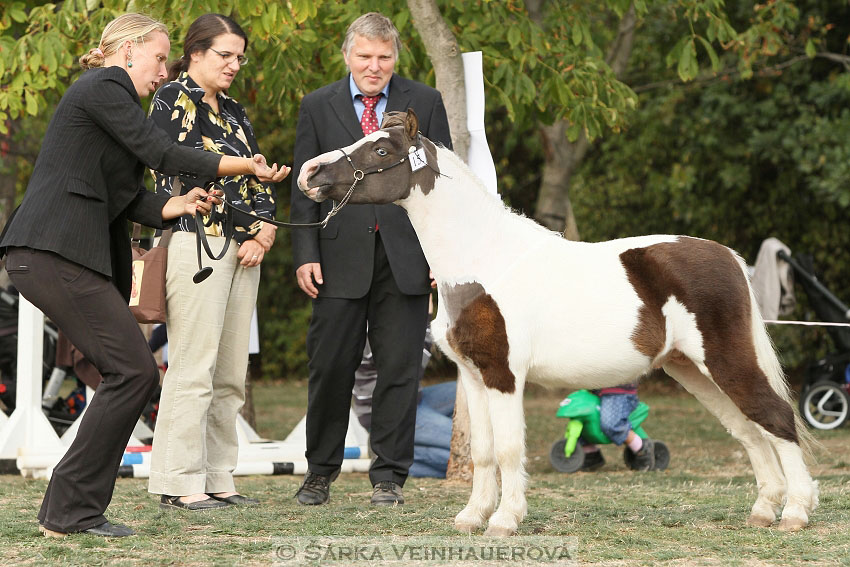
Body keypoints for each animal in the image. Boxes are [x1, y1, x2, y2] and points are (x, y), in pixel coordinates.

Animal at [296, 110, 816, 536]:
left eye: (382, 150)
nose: (309, 173)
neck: (483, 260)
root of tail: (728, 257)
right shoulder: (472, 377)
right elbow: (483, 451)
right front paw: (471, 517)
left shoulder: (504, 376)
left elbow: (509, 449)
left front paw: (505, 521)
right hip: (692, 370)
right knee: (748, 430)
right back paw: (763, 510)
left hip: (725, 361)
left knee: (775, 417)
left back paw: (794, 513)